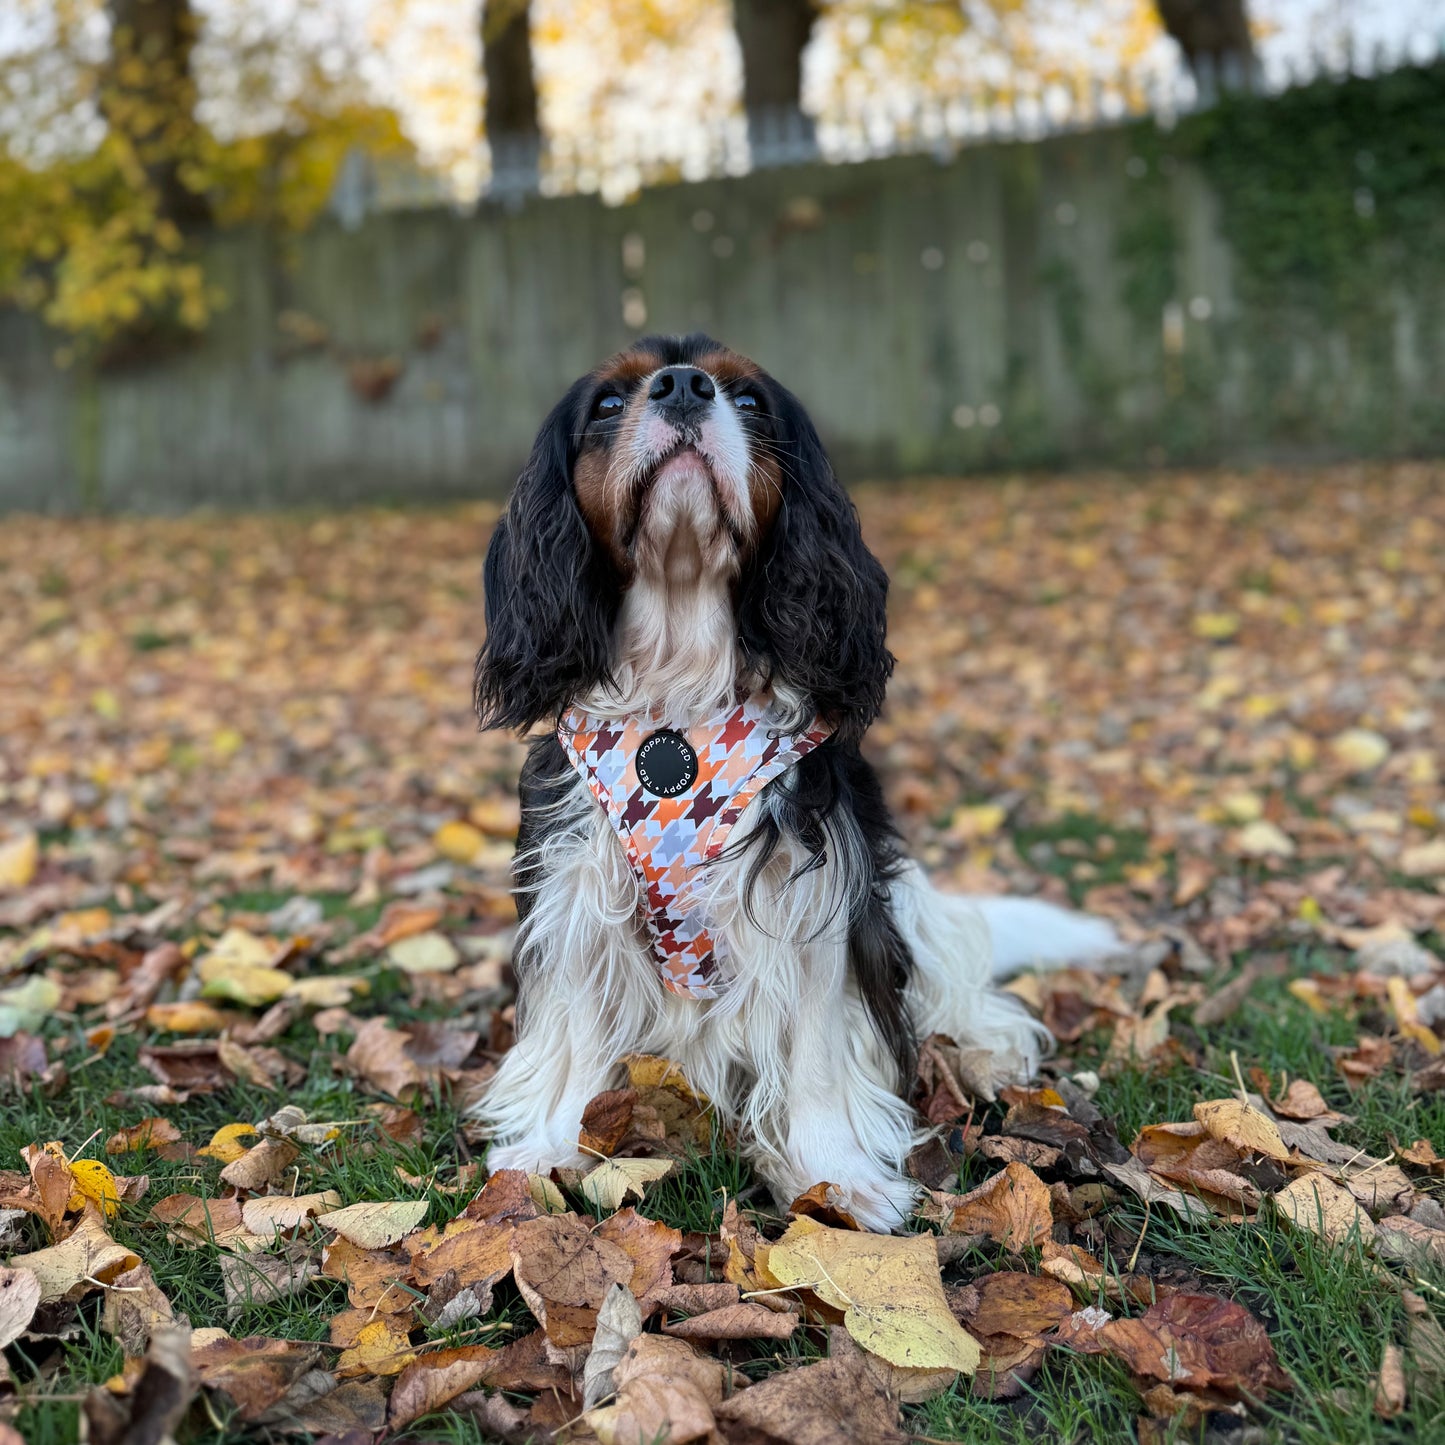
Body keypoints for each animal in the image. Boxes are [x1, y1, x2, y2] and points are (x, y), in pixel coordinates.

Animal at [473, 332, 1115, 1225]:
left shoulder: (811, 893)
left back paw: (984, 1051)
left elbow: (815, 1052)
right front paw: (548, 1150)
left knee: (949, 987)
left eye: (747, 398)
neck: (680, 682)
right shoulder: (577, 884)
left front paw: (832, 1176)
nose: (682, 386)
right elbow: (575, 1032)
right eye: (607, 402)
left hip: (901, 902)